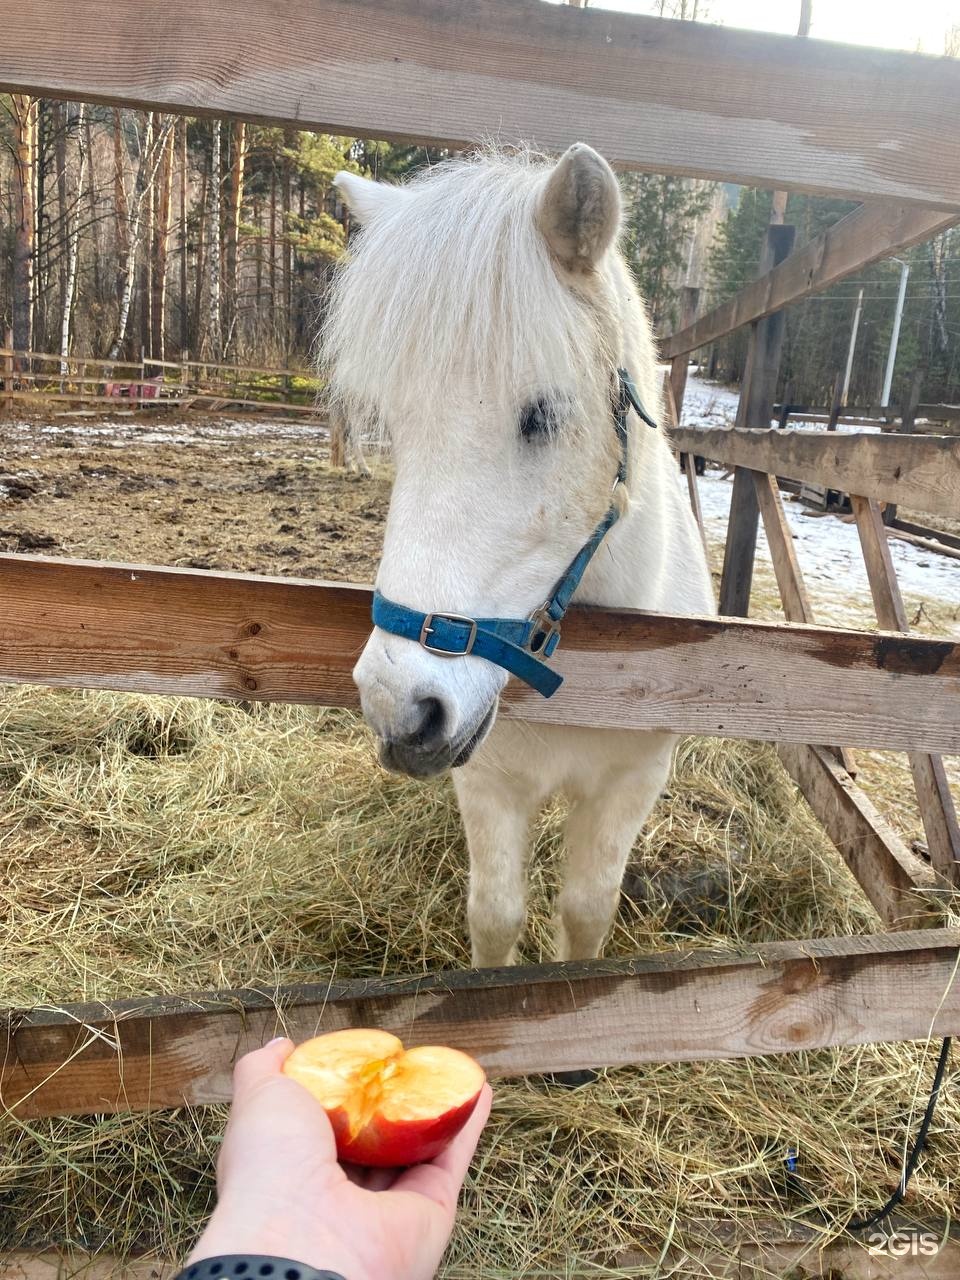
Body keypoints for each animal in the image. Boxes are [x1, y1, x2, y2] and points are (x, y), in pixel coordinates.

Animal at [323, 145, 716, 962]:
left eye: (543, 417)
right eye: (394, 426)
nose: (401, 708)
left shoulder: (631, 783)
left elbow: (587, 912)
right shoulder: (492, 783)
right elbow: (497, 915)